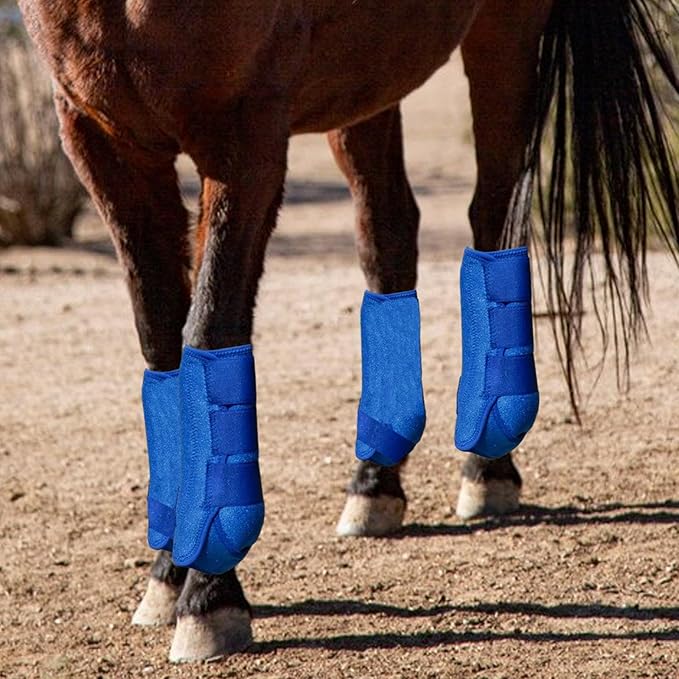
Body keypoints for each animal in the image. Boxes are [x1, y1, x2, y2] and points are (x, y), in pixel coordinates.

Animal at [17, 0, 678, 663]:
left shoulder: (244, 139)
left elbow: (208, 330)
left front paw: (210, 594)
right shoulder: (101, 140)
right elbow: (160, 341)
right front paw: (169, 572)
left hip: (505, 36)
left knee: (494, 217)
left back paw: (487, 466)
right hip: (368, 83)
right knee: (389, 233)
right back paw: (374, 483)